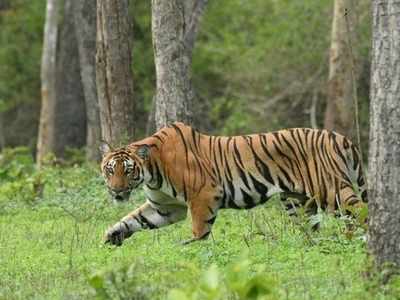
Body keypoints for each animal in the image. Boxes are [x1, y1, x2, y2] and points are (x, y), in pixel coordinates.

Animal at [101, 122, 368, 246]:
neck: (152, 171)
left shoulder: (204, 194)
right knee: (313, 228)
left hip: (331, 189)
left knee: (359, 212)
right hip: (297, 201)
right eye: (110, 169)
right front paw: (111, 235)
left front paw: (187, 248)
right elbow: (133, 219)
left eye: (128, 170)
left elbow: (199, 231)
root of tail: (341, 137)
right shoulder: (166, 208)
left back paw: (356, 241)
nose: (117, 190)